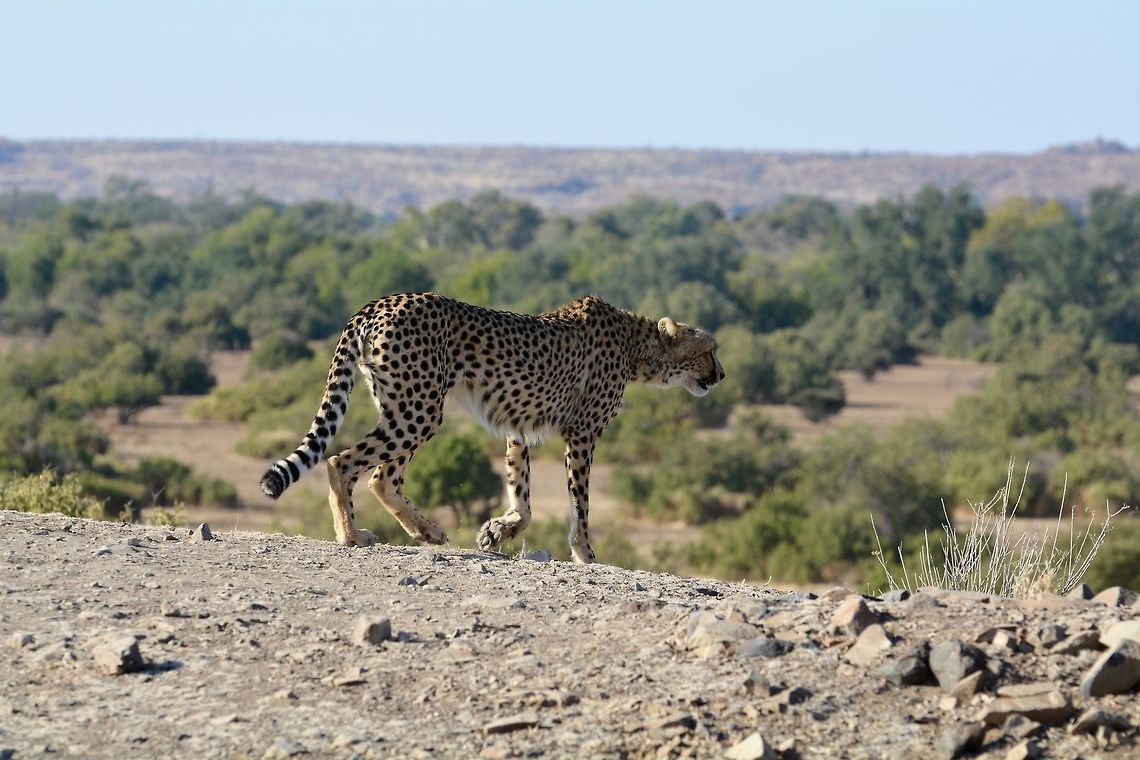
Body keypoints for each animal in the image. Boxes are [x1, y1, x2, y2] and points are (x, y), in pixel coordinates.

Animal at [259, 292, 723, 563]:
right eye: (709, 351)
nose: (721, 375)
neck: (636, 347)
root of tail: (381, 301)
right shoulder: (582, 434)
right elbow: (580, 504)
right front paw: (586, 554)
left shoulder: (518, 427)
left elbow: (523, 496)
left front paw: (498, 531)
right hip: (419, 409)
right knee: (342, 461)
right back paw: (350, 534)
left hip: (409, 406)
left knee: (382, 476)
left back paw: (426, 531)